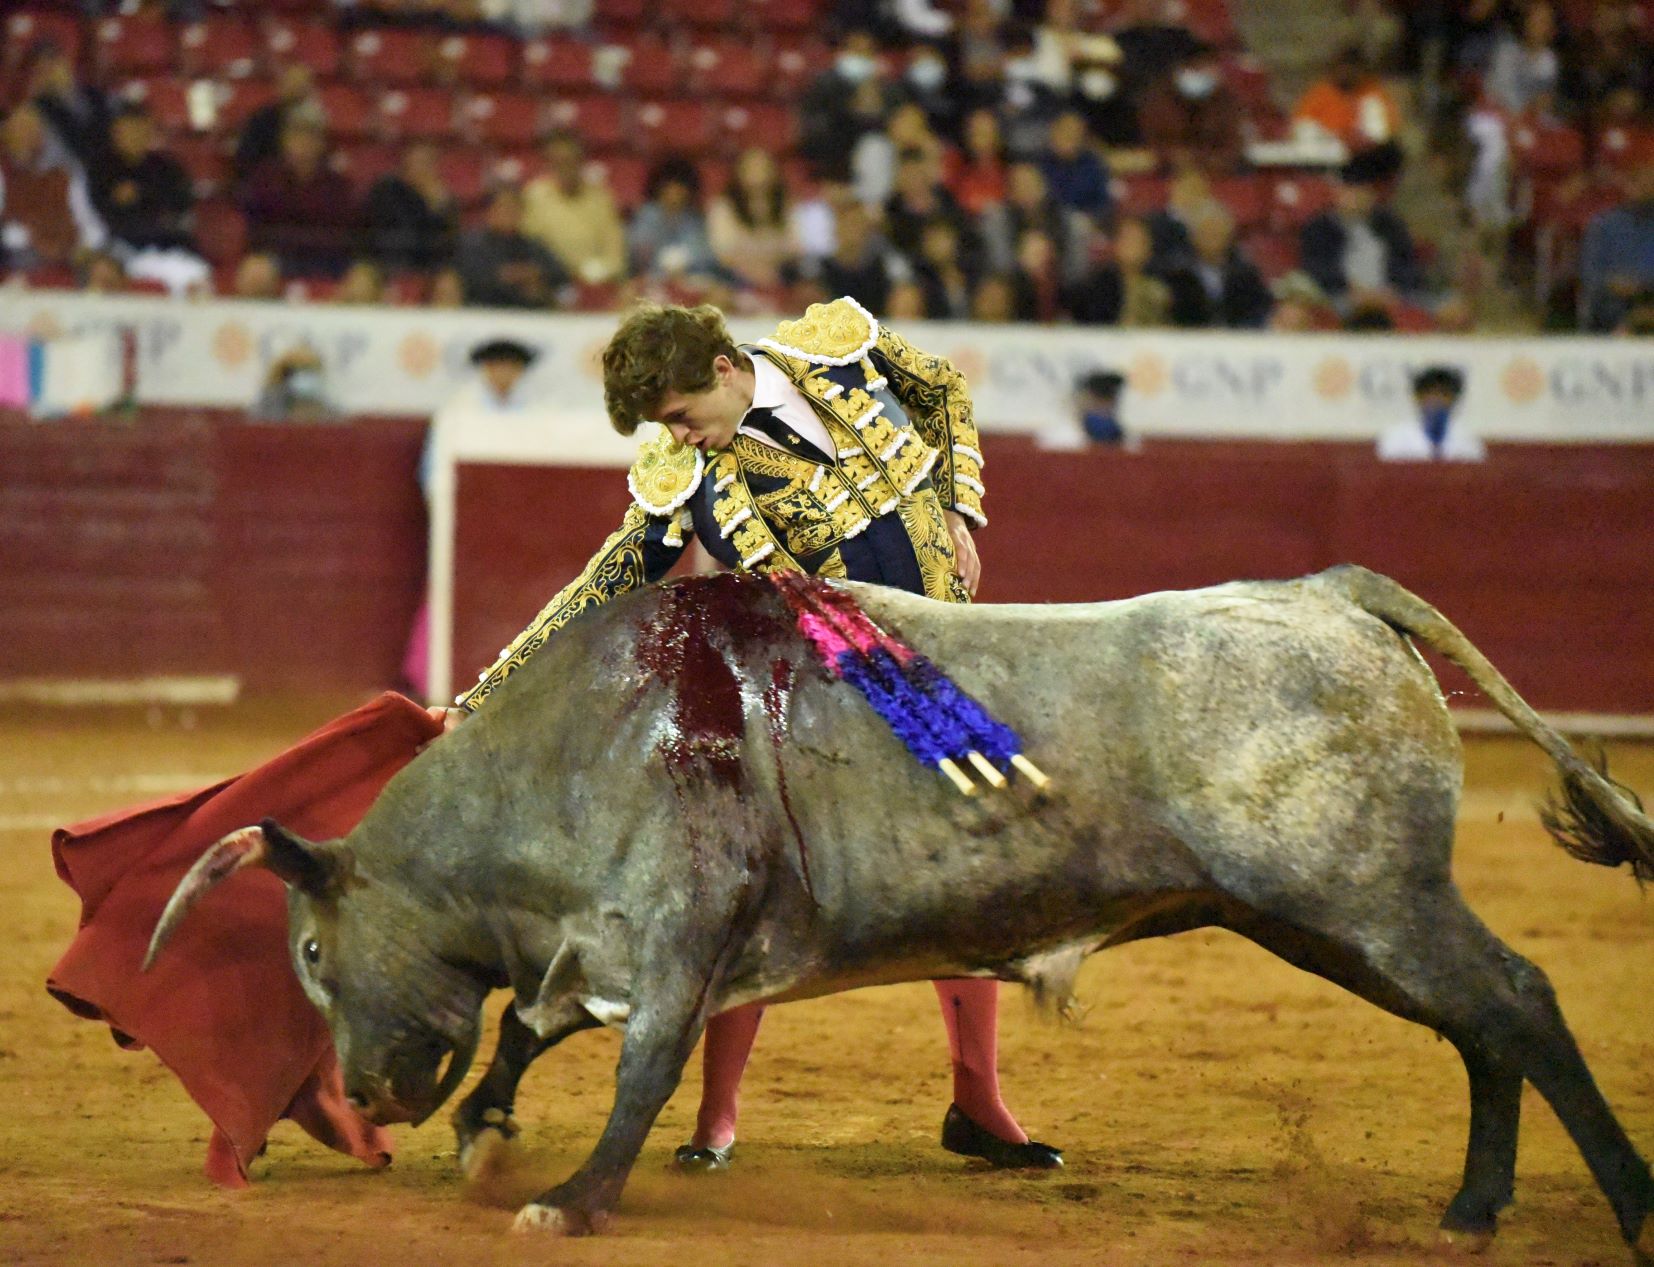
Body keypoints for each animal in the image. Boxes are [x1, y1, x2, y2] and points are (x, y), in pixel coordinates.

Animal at [146, 566, 1654, 1259]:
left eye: (311, 949)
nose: (363, 1096)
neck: (577, 742)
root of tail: (1328, 591)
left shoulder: (677, 931)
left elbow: (634, 1067)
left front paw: (569, 1200)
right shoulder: (612, 945)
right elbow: (531, 1025)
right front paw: (486, 1133)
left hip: (1361, 896)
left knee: (1514, 1001)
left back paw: (1623, 1205)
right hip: (1328, 915)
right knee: (1479, 1025)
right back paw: (1469, 1207)